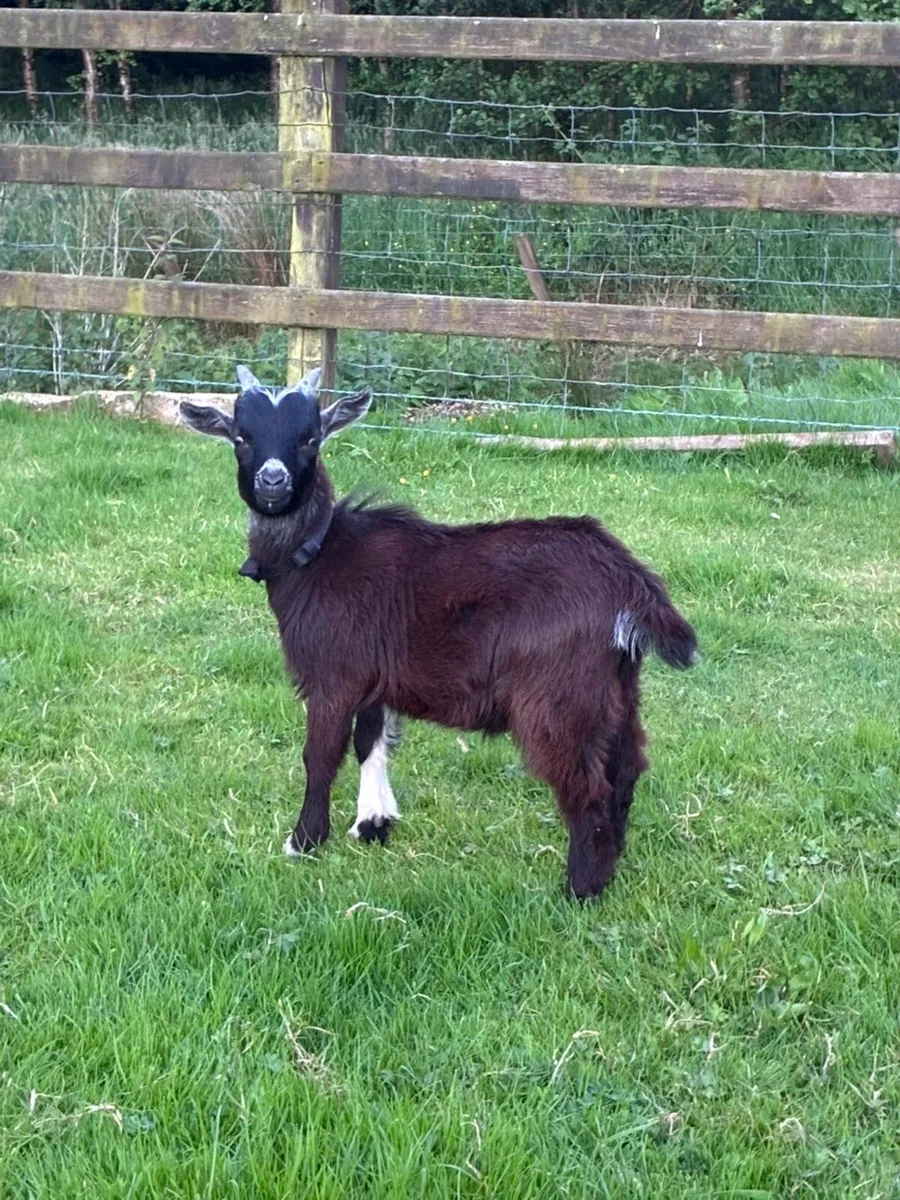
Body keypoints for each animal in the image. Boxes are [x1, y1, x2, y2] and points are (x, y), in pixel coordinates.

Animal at [180, 366, 698, 899]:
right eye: (241, 437)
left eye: (311, 438)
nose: (273, 481)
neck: (319, 553)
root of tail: (627, 579)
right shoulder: (375, 675)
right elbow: (371, 740)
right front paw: (373, 823)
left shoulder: (333, 676)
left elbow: (320, 756)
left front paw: (303, 841)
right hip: (617, 687)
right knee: (627, 769)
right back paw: (610, 866)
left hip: (557, 697)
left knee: (587, 786)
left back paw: (580, 890)